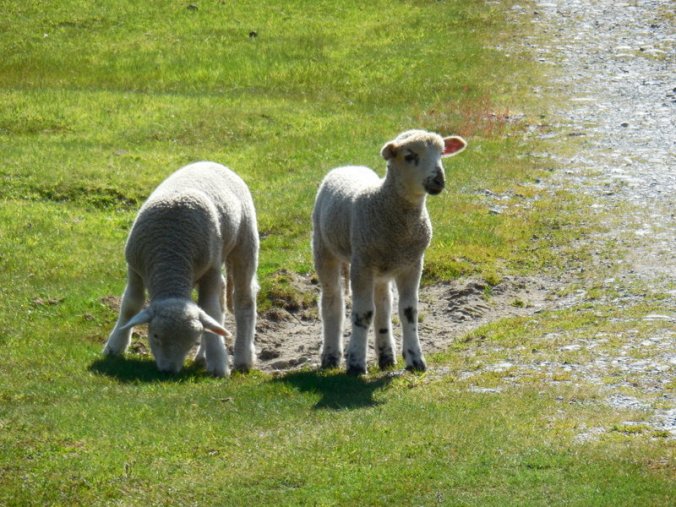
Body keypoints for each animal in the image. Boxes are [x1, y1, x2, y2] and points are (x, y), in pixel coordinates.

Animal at [103, 161, 259, 377]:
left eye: (192, 341)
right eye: (155, 335)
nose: (169, 371)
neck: (170, 256)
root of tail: (211, 162)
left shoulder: (209, 270)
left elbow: (210, 309)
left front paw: (218, 362)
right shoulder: (134, 268)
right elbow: (131, 305)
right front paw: (114, 346)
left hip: (244, 241)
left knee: (244, 298)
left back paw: (243, 358)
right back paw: (202, 357)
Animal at [312, 130, 467, 375]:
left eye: (442, 153)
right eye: (409, 155)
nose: (438, 181)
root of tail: (348, 166)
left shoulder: (413, 263)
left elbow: (408, 311)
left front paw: (415, 359)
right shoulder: (362, 264)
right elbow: (363, 313)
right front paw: (355, 364)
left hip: (382, 267)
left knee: (383, 303)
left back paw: (386, 356)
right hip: (324, 247)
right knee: (332, 300)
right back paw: (331, 356)